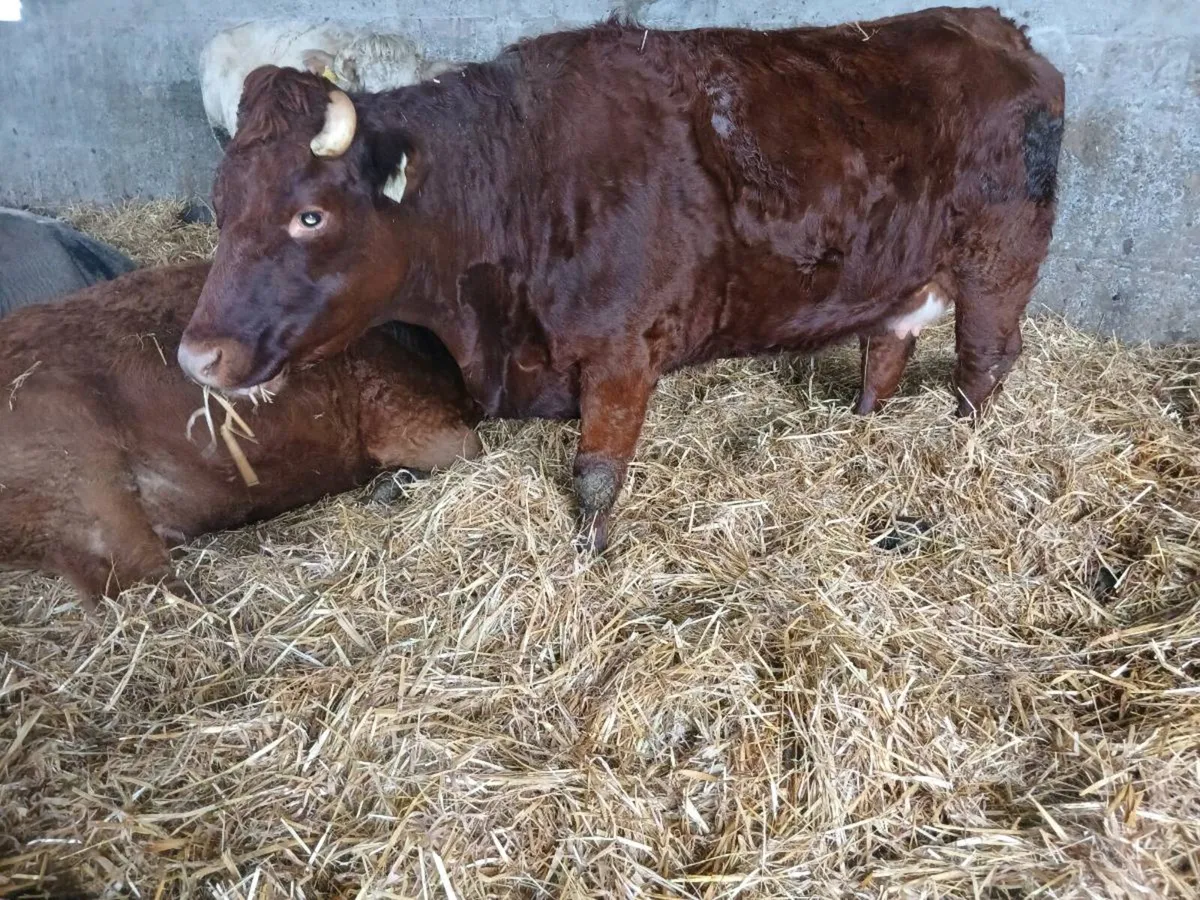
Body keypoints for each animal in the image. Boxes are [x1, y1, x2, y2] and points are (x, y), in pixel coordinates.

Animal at [177, 7, 1066, 552]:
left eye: (310, 217)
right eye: (221, 205)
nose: (197, 357)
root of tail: (995, 27)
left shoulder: (624, 352)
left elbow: (597, 477)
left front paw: (589, 557)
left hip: (1000, 263)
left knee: (984, 363)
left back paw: (960, 443)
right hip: (900, 271)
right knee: (887, 348)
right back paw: (863, 422)